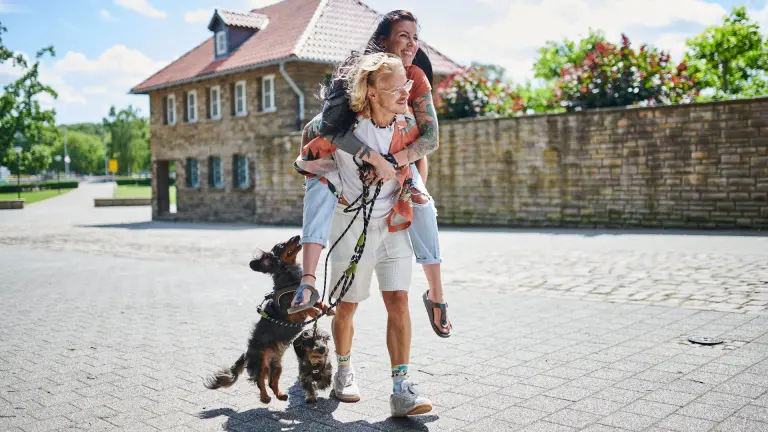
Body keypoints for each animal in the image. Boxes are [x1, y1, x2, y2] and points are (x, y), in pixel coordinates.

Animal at [204, 235, 332, 404]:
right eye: (282, 245)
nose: (297, 236)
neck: (289, 278)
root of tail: (247, 354)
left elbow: (317, 302)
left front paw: (328, 308)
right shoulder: (289, 312)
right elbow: (305, 307)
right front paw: (315, 310)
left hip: (277, 366)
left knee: (272, 382)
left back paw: (280, 395)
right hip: (261, 363)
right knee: (260, 381)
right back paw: (265, 397)